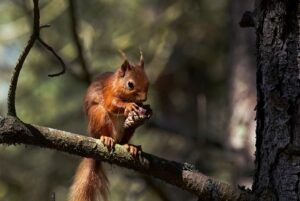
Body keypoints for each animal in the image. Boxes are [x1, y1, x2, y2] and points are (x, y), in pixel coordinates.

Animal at [69, 53, 151, 201]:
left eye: (148, 82)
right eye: (130, 84)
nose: (144, 99)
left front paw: (148, 110)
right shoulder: (107, 93)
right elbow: (112, 104)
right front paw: (129, 106)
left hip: (128, 131)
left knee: (123, 141)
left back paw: (130, 146)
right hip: (99, 116)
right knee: (103, 129)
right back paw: (106, 138)